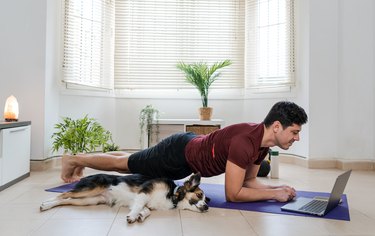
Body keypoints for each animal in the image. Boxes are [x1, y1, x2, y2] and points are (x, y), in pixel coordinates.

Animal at [42, 172, 212, 222]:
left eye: (205, 199)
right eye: (199, 195)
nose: (207, 207)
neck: (173, 194)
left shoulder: (144, 202)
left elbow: (145, 210)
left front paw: (140, 216)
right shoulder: (144, 193)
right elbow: (138, 206)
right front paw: (133, 216)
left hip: (90, 200)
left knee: (67, 200)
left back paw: (47, 205)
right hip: (91, 190)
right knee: (65, 194)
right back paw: (47, 202)